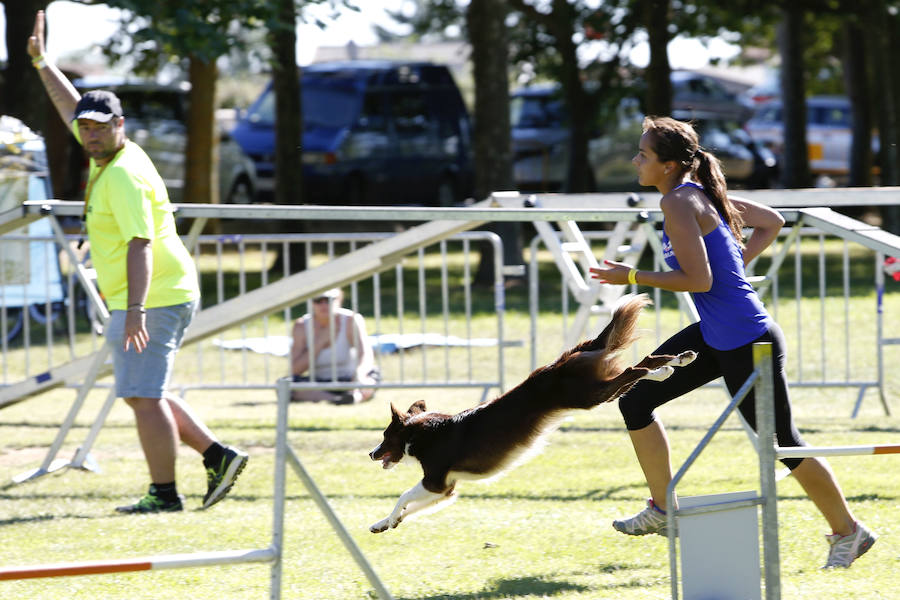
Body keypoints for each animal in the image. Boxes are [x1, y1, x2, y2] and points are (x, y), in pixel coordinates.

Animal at [368, 292, 696, 532]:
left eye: (384, 436)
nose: (371, 454)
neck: (419, 433)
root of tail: (566, 358)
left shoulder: (435, 481)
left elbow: (403, 496)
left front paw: (389, 519)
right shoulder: (446, 488)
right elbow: (411, 507)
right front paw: (385, 523)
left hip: (590, 395)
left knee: (633, 370)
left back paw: (664, 370)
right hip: (597, 389)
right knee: (645, 359)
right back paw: (679, 360)